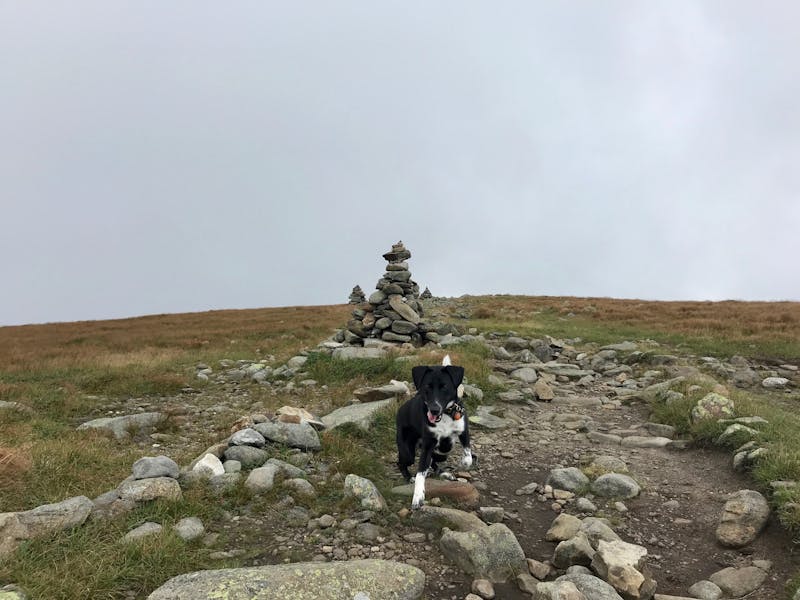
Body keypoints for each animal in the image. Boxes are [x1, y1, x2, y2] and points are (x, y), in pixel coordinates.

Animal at [396, 354, 472, 508]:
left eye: (445, 387)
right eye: (427, 387)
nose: (434, 410)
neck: (446, 415)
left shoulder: (463, 431)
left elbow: (468, 455)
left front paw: (464, 463)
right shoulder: (428, 444)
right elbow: (421, 473)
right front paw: (418, 496)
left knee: (434, 460)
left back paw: (443, 473)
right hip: (408, 451)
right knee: (402, 462)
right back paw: (409, 478)